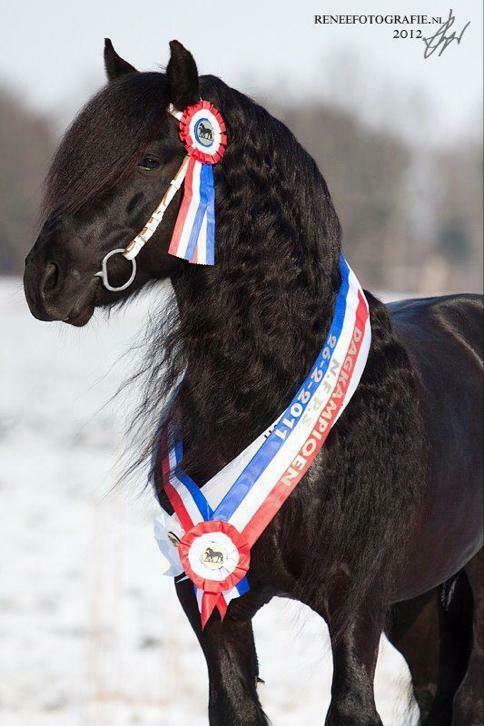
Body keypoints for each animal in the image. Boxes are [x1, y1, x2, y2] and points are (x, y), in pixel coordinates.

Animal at [23, 39, 483, 725]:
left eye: (150, 157)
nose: (42, 278)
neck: (264, 394)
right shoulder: (209, 596)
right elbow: (237, 705)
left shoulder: (358, 606)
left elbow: (352, 706)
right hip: (422, 603)